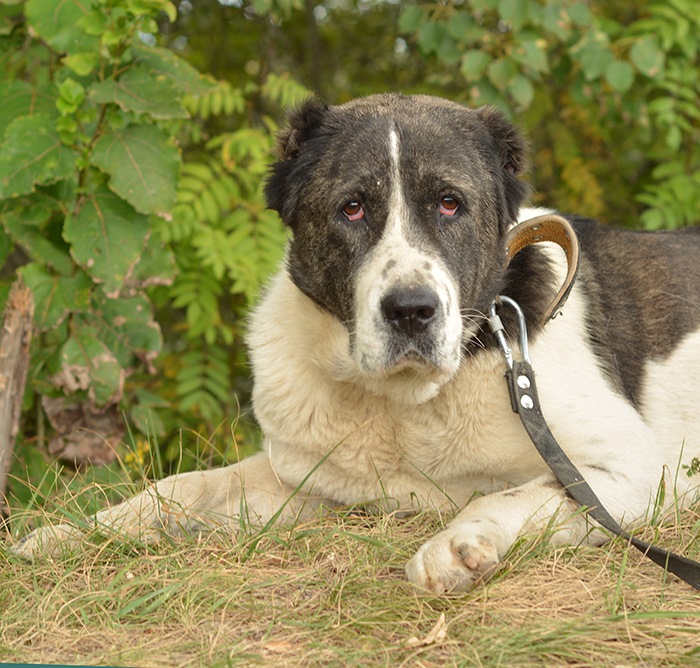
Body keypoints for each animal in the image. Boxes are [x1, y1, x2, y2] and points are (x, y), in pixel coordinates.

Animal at [13, 95, 700, 596]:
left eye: (449, 204)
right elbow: (185, 487)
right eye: (351, 208)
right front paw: (70, 534)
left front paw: (455, 546)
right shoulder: (297, 478)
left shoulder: (630, 473)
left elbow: (516, 491)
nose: (411, 311)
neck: (403, 404)